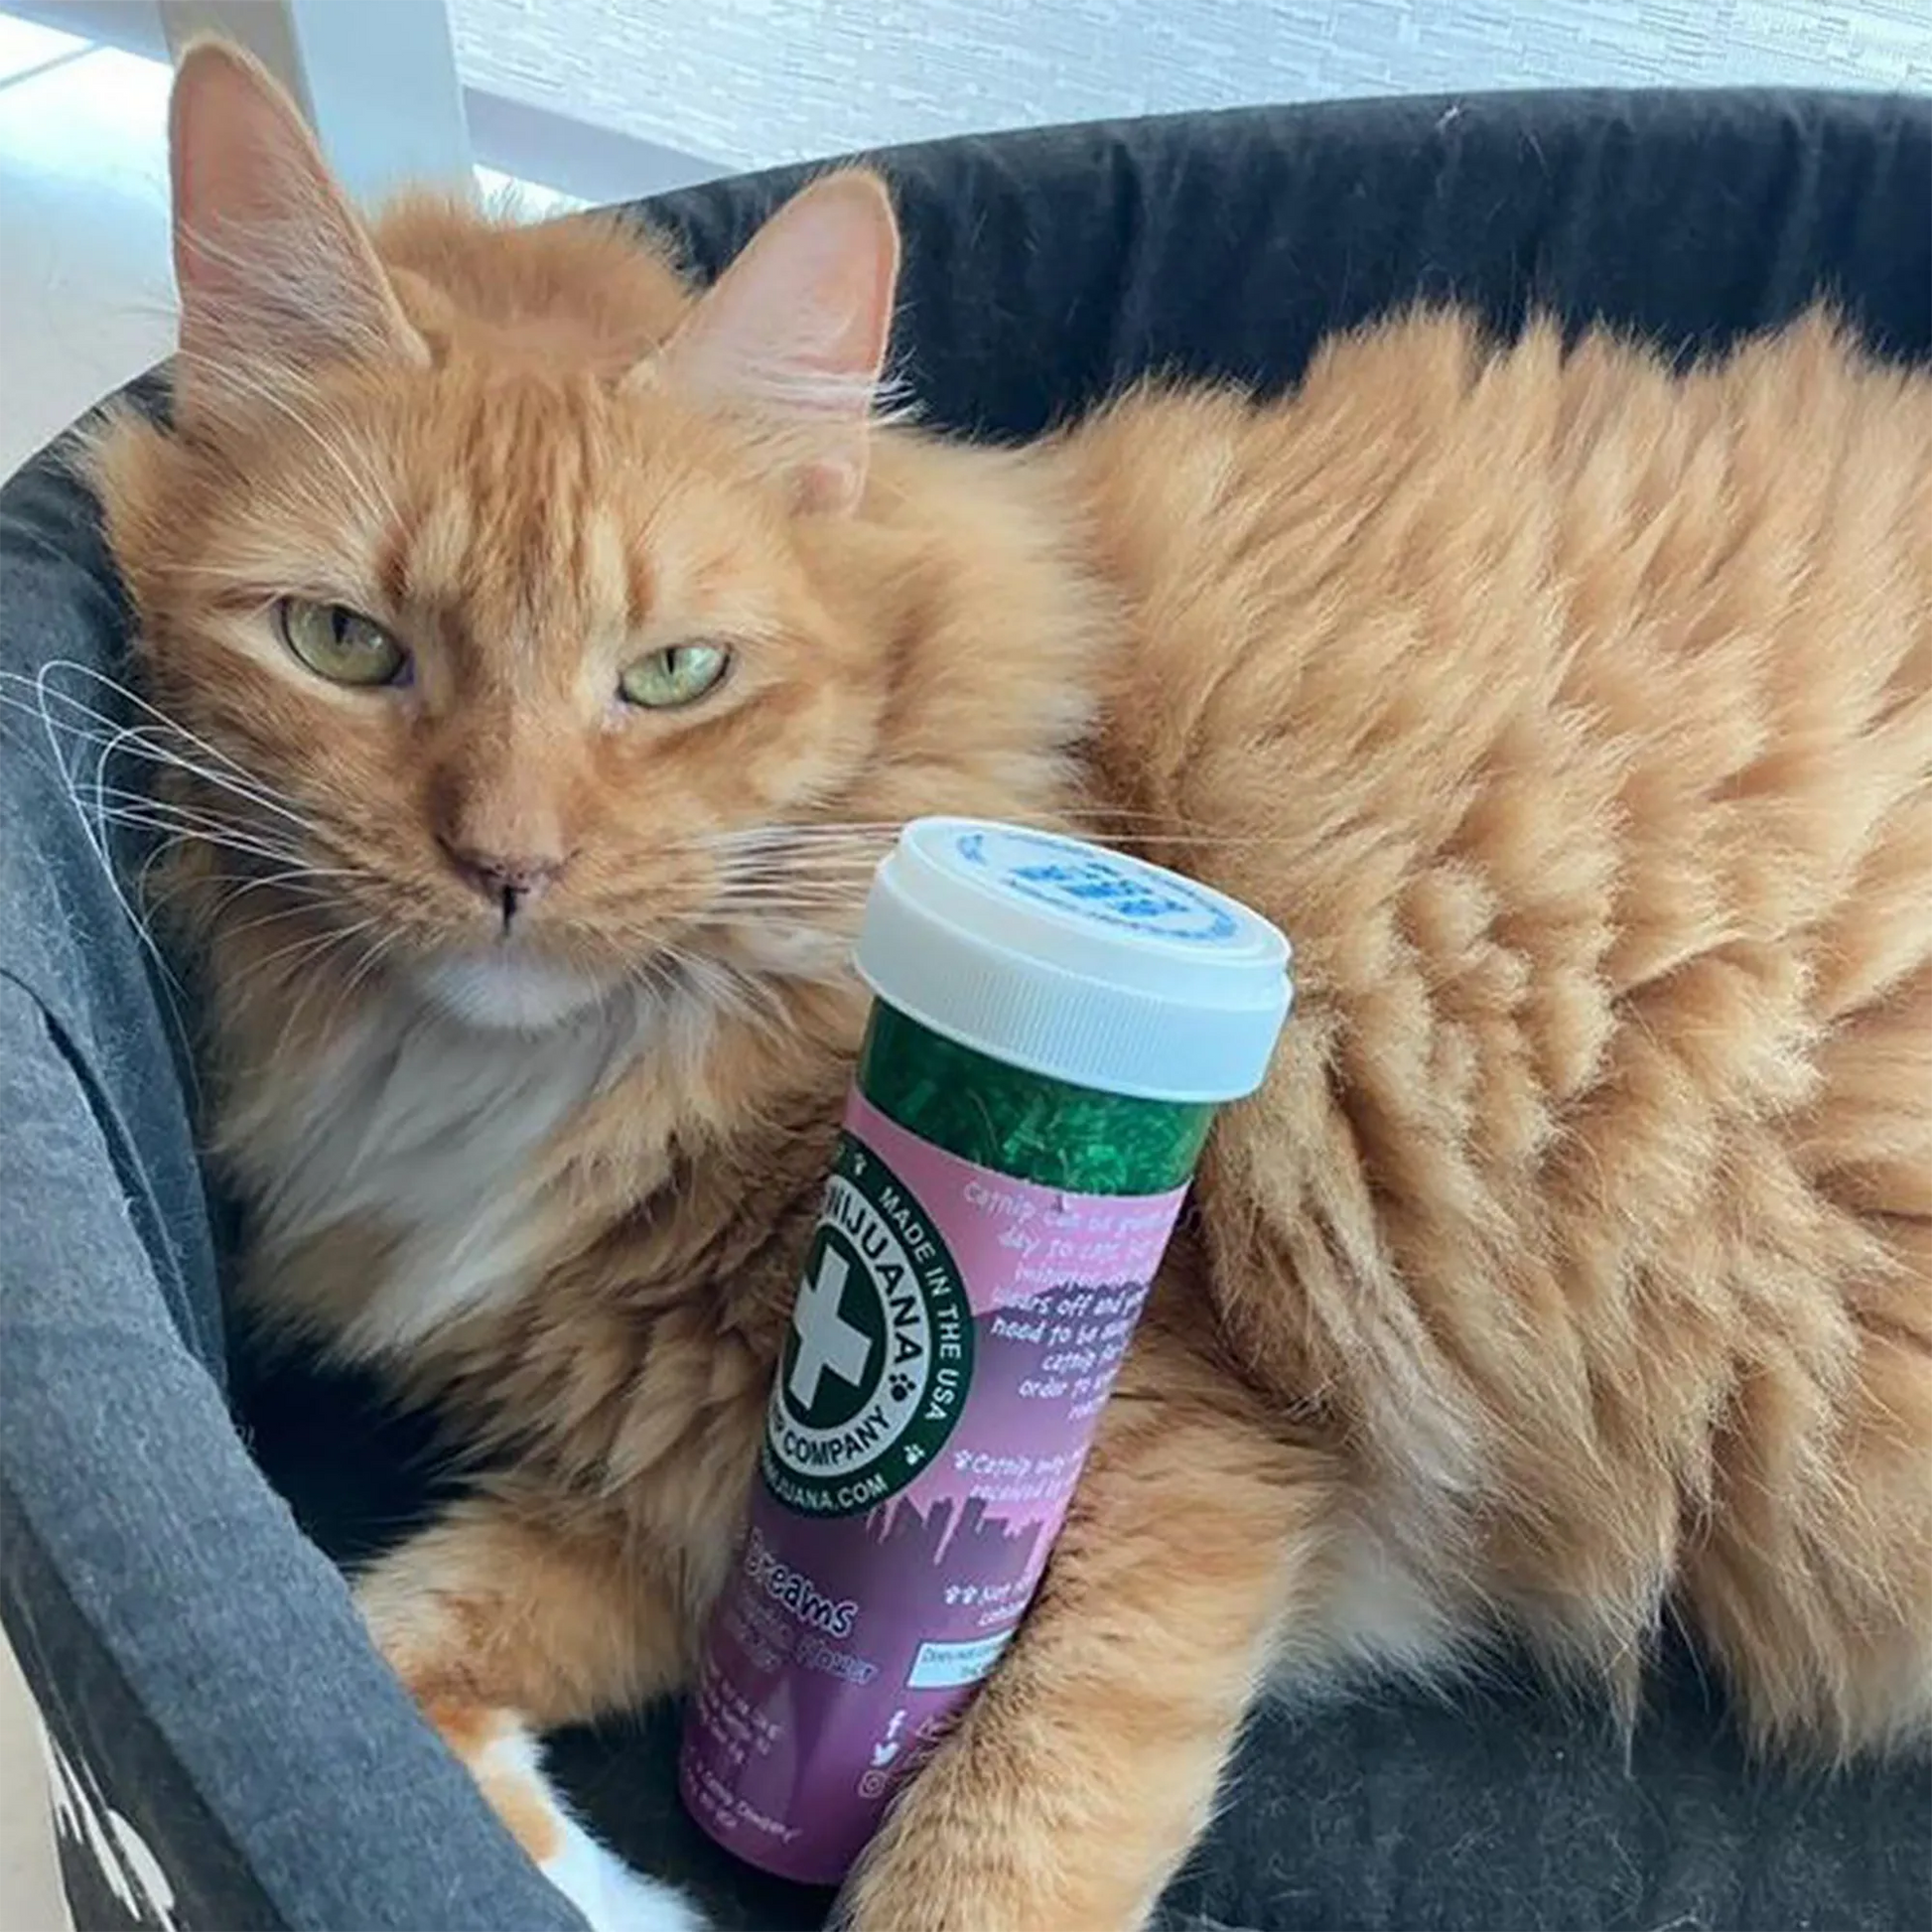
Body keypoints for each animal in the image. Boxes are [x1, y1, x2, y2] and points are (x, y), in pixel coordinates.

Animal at [90, 41, 1932, 1932]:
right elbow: (385, 1661)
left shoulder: (1176, 1464)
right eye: (343, 645)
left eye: (673, 674)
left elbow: (994, 1841)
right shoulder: (668, 1485)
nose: (507, 868)